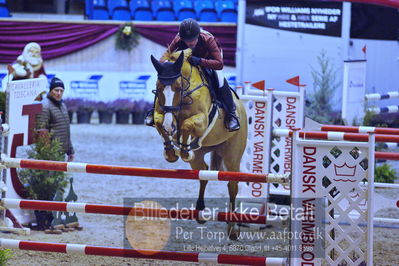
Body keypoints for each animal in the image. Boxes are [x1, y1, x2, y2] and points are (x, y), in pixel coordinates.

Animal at [152, 49, 248, 239]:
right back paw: (200, 212)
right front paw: (171, 152)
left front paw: (181, 146)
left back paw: (233, 228)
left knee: (232, 185)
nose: (170, 126)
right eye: (158, 88)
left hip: (232, 156)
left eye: (178, 87)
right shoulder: (160, 113)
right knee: (203, 172)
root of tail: (241, 107)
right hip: (200, 156)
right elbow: (159, 121)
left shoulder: (202, 120)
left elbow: (187, 124)